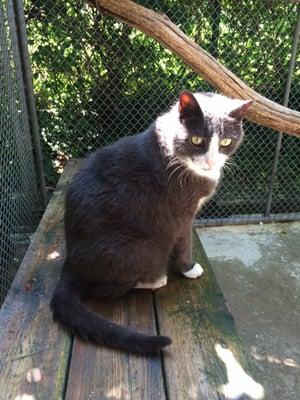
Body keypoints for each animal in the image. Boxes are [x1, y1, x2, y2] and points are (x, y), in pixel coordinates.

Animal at [50, 90, 252, 354]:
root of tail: (70, 262)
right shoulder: (183, 213)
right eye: (197, 140)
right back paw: (155, 279)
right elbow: (185, 242)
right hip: (143, 246)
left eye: (226, 142)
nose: (210, 163)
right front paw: (189, 268)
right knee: (103, 290)